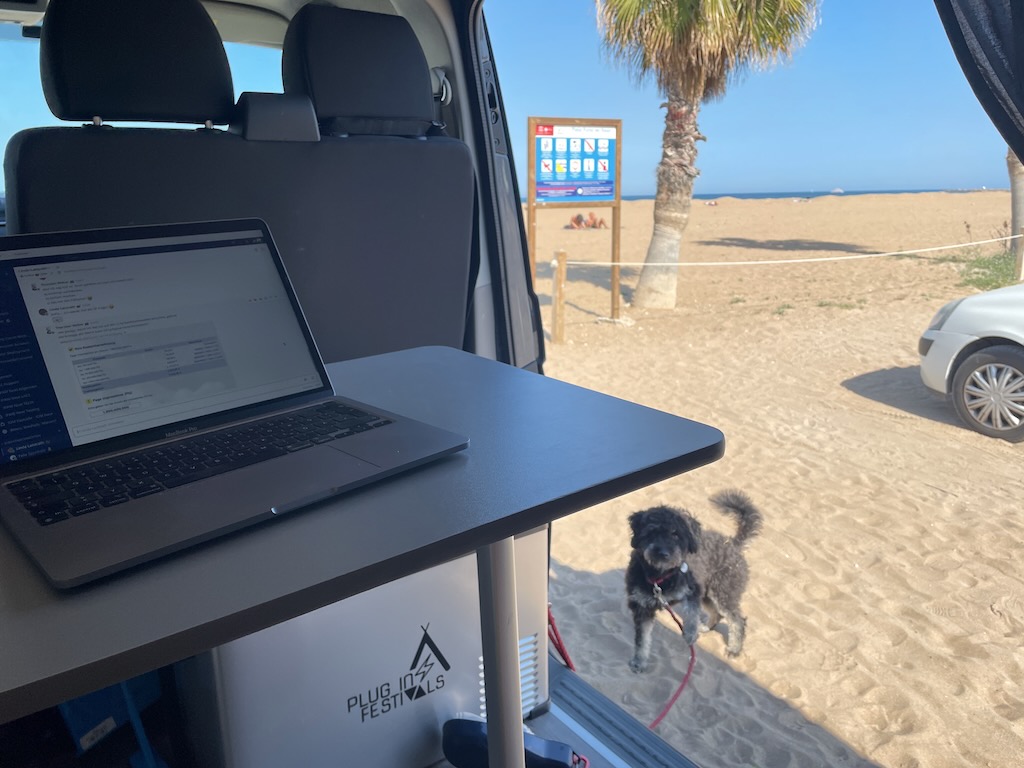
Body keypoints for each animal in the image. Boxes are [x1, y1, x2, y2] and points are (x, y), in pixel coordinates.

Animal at [622, 493, 761, 671]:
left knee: (737, 620)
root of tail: (733, 543)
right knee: (717, 614)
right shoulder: (642, 607)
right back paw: (706, 627)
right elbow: (642, 639)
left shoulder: (693, 590)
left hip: (723, 593)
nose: (663, 553)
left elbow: (692, 613)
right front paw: (639, 661)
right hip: (709, 595)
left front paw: (690, 633)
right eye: (652, 532)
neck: (661, 576)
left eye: (676, 534)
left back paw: (734, 649)